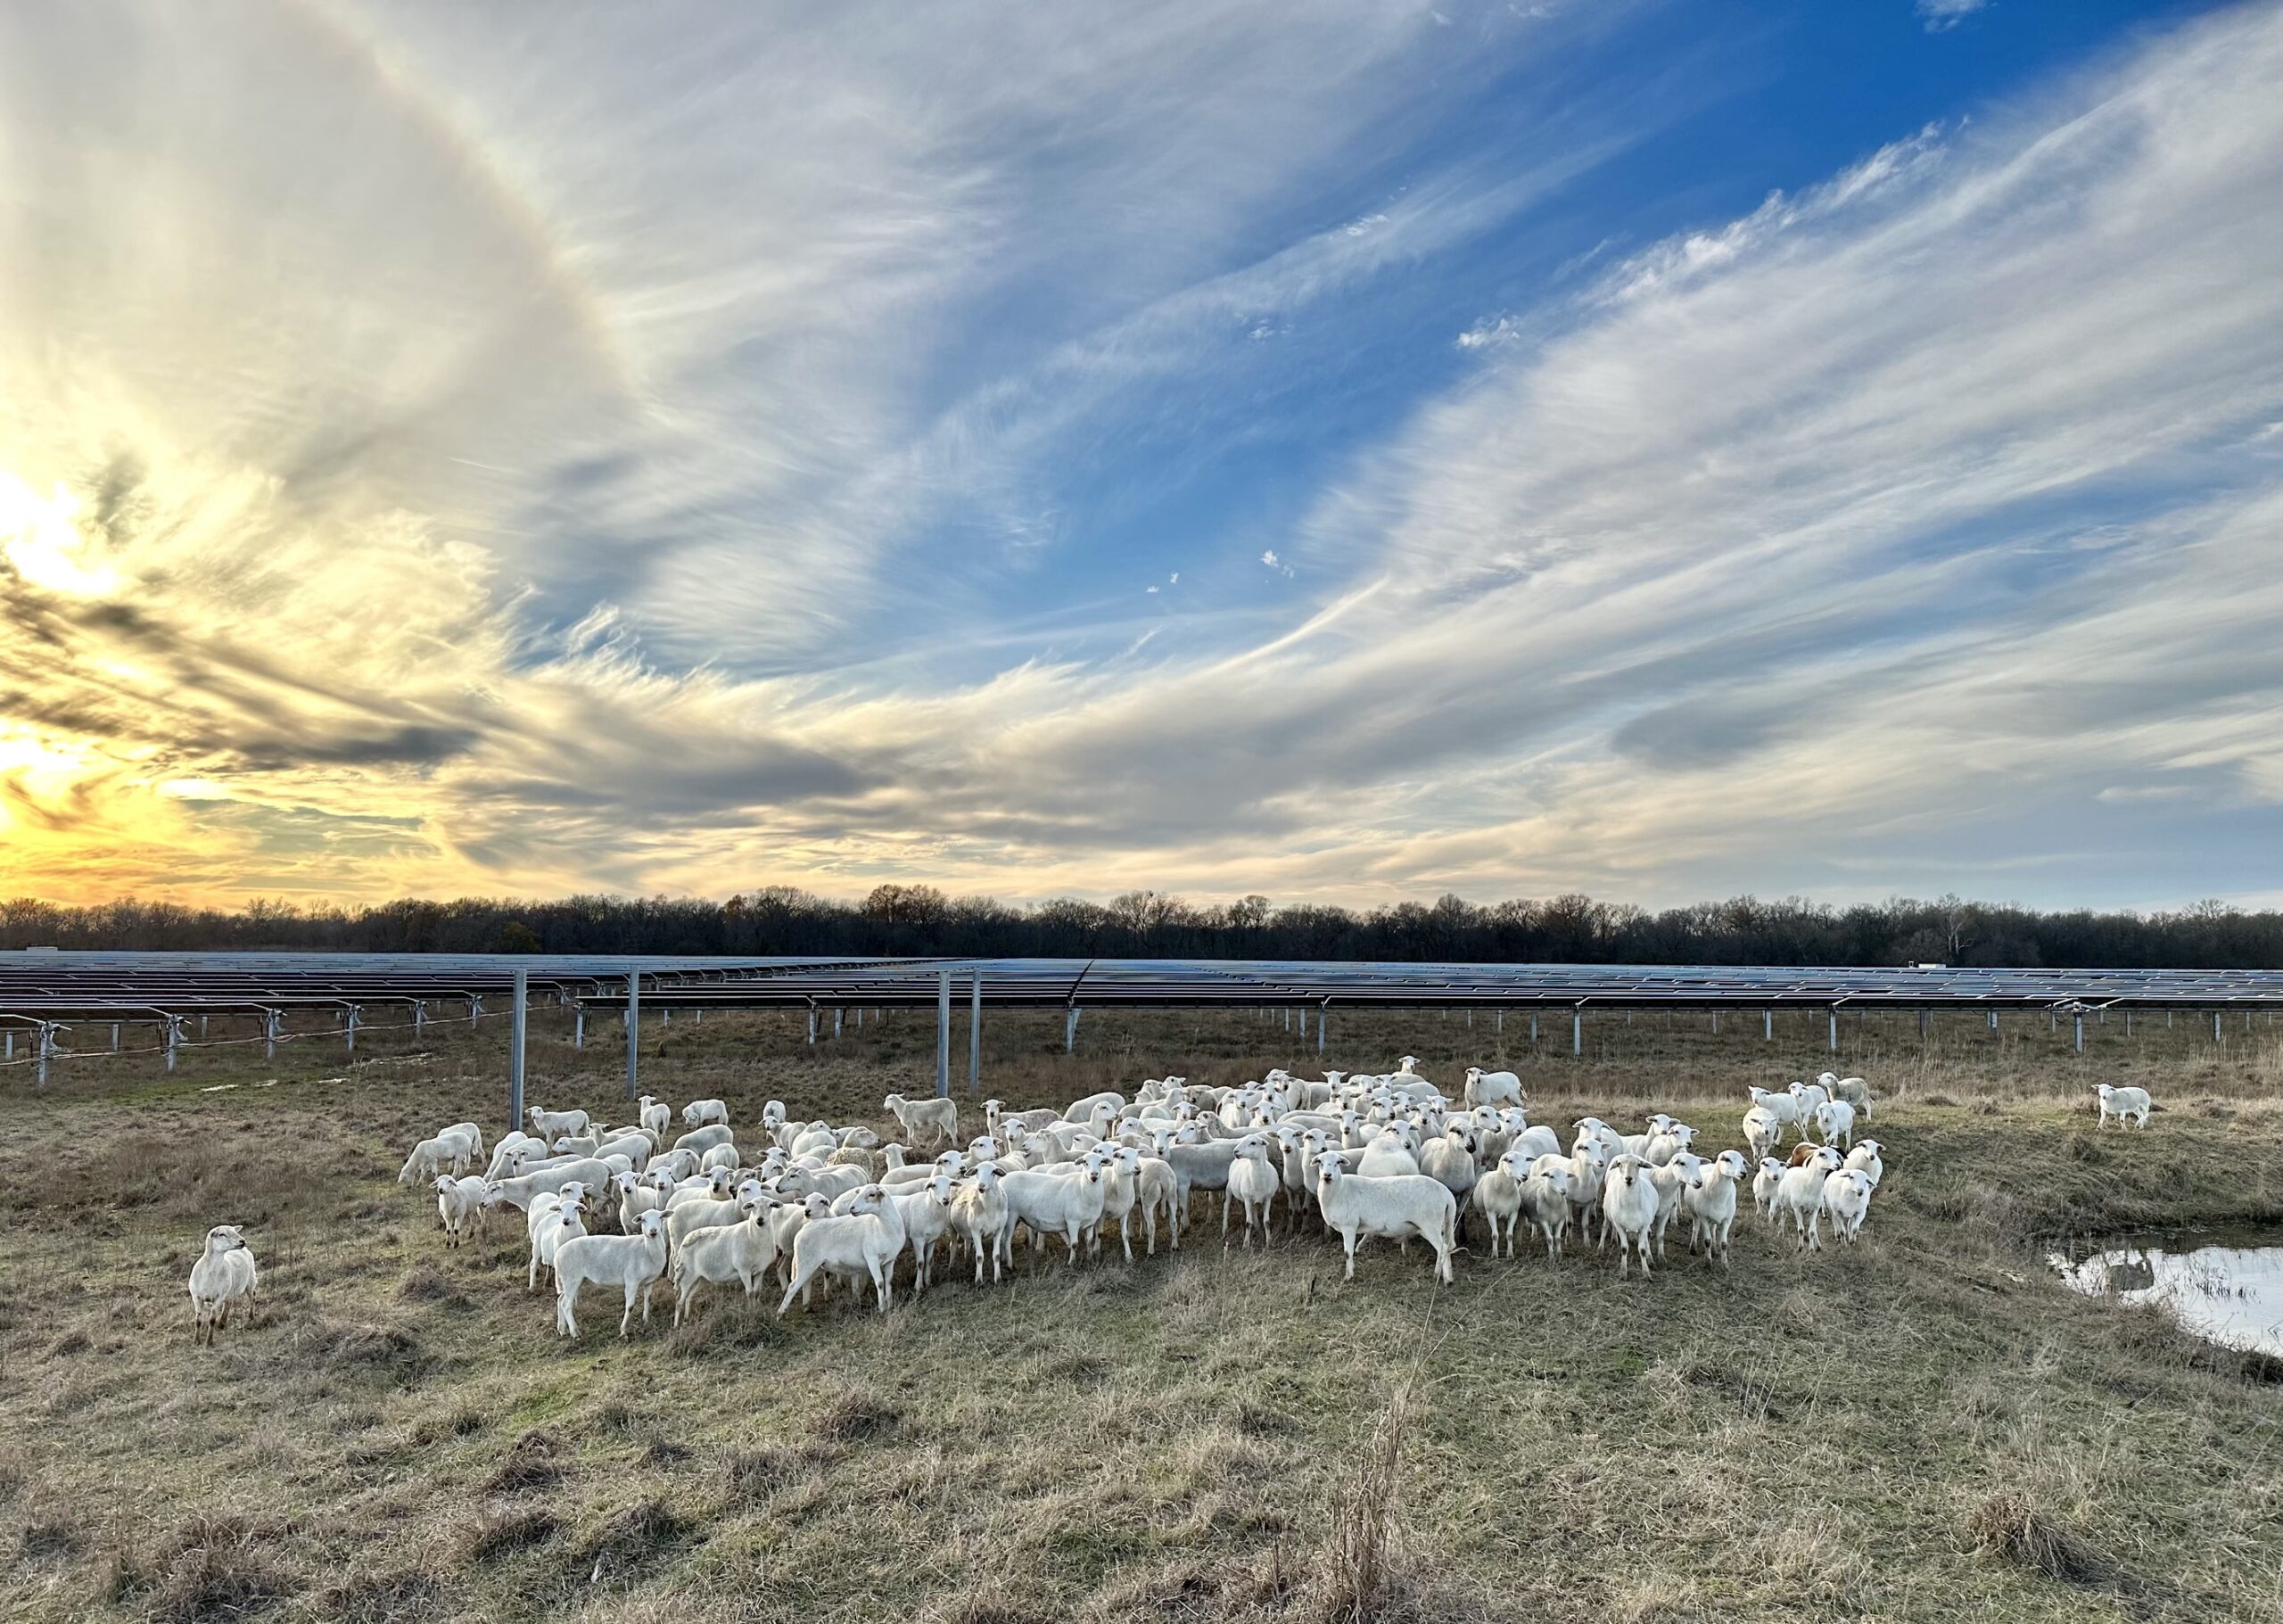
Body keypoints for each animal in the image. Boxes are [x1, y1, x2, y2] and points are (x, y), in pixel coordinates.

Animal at [188, 1225, 258, 1345]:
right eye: (222, 1234)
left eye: (235, 1231)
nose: (243, 1241)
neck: (209, 1275)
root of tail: (245, 1250)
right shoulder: (196, 1297)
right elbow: (198, 1320)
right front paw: (196, 1341)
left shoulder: (218, 1297)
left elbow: (212, 1320)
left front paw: (209, 1341)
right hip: (230, 1290)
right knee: (229, 1303)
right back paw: (222, 1323)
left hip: (250, 1280)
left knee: (252, 1297)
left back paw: (251, 1317)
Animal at [555, 1209, 670, 1338]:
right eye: (643, 1220)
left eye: (660, 1217)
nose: (653, 1231)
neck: (646, 1250)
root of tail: (558, 1254)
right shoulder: (631, 1280)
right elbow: (630, 1306)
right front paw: (623, 1331)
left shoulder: (649, 1281)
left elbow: (648, 1300)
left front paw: (646, 1321)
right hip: (571, 1278)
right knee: (566, 1305)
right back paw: (575, 1333)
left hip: (571, 1279)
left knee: (560, 1300)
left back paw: (562, 1329)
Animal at [778, 1186, 907, 1314]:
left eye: (872, 1194)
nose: (852, 1208)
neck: (882, 1227)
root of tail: (803, 1229)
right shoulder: (872, 1258)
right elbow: (880, 1283)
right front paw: (882, 1308)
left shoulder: (890, 1260)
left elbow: (889, 1281)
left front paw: (890, 1305)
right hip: (805, 1262)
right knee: (792, 1286)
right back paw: (781, 1313)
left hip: (816, 1265)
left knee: (806, 1282)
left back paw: (806, 1307)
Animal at [1312, 1152, 1456, 1284]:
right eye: (1320, 1162)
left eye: (1337, 1163)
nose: (1327, 1175)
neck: (1340, 1191)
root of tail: (1447, 1194)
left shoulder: (1349, 1226)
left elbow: (1347, 1253)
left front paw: (1348, 1276)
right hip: (1427, 1227)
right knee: (1441, 1249)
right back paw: (1437, 1274)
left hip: (1431, 1224)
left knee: (1443, 1248)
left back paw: (1448, 1280)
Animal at [1600, 1155, 1660, 1280]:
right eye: (1619, 1164)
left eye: (1638, 1164)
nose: (1628, 1179)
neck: (1630, 1206)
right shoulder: (1620, 1225)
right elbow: (1624, 1248)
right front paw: (1623, 1272)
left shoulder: (1644, 1226)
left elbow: (1642, 1249)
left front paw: (1646, 1272)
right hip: (1607, 1212)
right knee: (1605, 1226)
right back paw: (1600, 1248)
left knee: (1648, 1237)